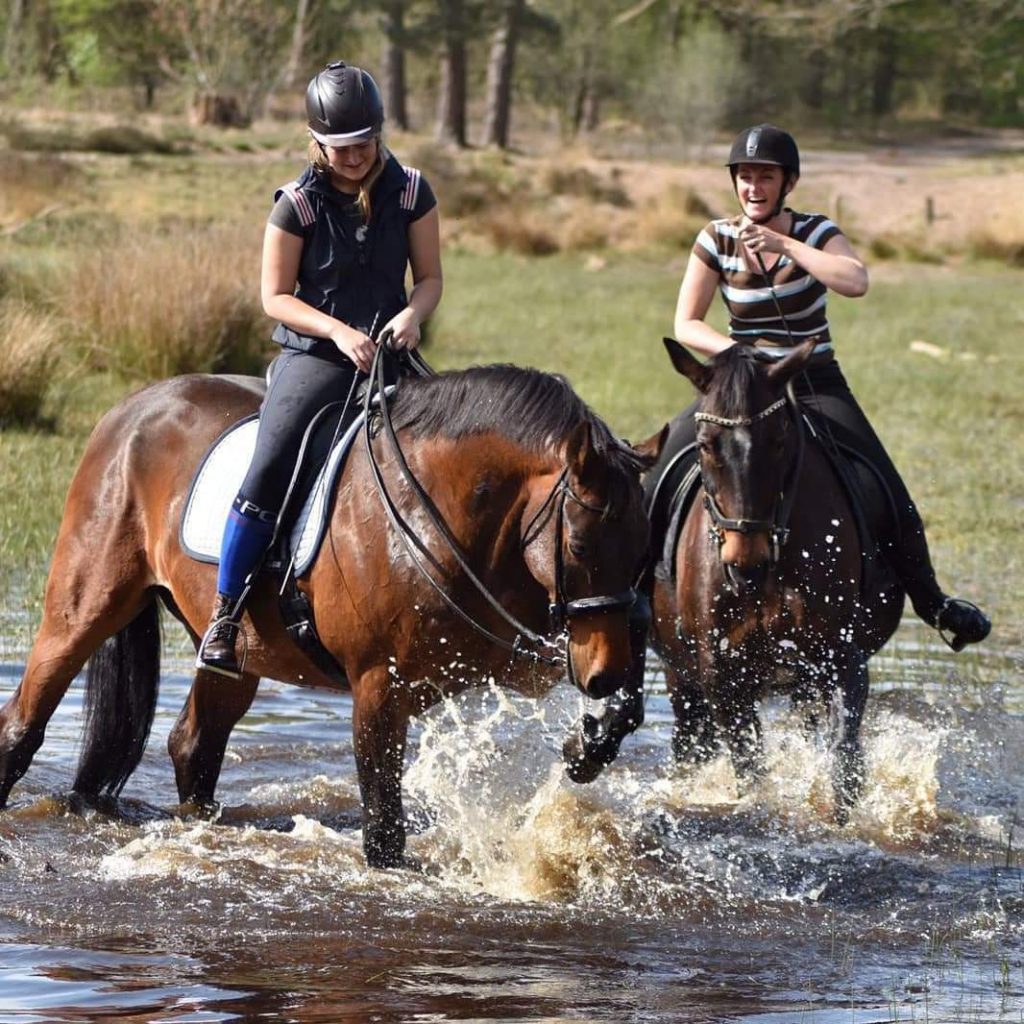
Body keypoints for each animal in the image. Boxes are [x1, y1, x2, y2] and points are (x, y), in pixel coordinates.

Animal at [0, 362, 661, 867]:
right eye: (580, 546)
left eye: (642, 551)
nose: (600, 672)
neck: (443, 519)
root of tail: (132, 409)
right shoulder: (378, 688)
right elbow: (384, 823)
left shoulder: (520, 658)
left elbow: (620, 701)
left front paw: (588, 744)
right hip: (84, 608)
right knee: (23, 723)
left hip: (238, 654)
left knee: (194, 743)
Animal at [645, 338, 903, 822]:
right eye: (705, 445)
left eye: (780, 440)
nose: (746, 562)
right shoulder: (723, 675)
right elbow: (750, 769)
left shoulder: (843, 659)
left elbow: (844, 760)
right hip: (681, 677)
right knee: (691, 746)